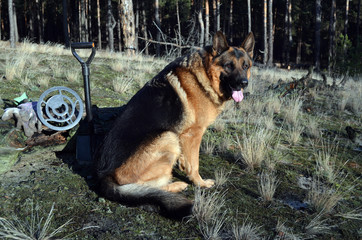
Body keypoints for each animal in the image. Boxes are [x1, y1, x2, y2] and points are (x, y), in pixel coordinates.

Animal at [94, 31, 256, 218]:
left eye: (245, 66)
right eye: (229, 66)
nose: (244, 83)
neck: (205, 74)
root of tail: (104, 175)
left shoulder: (184, 136)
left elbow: (187, 160)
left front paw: (183, 165)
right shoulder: (194, 134)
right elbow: (194, 164)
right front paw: (200, 183)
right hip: (167, 137)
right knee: (146, 187)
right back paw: (176, 186)